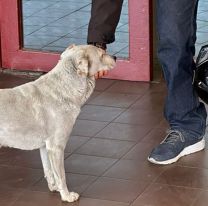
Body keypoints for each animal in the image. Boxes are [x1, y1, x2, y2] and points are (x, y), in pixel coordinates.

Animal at [0, 44, 115, 201]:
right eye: (102, 54)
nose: (115, 57)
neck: (64, 89)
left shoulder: (45, 146)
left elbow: (49, 170)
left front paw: (54, 188)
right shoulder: (56, 147)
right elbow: (61, 175)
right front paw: (66, 196)